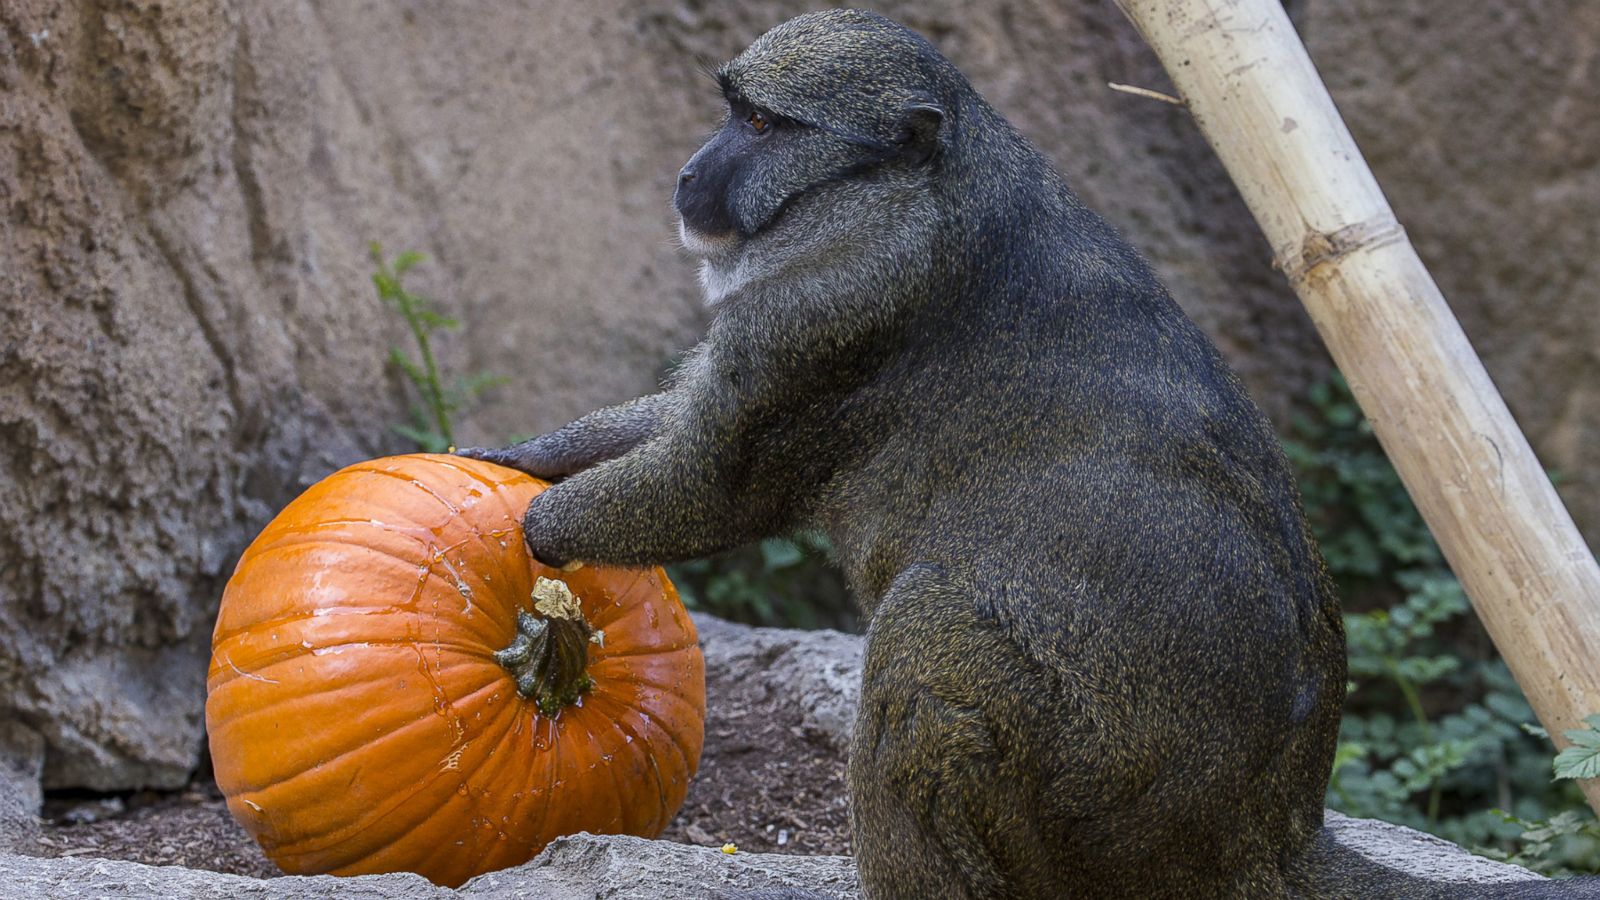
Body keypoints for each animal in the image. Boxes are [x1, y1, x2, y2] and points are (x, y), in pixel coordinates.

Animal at [457, 8, 1593, 896]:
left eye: (763, 124)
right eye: (734, 110)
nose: (692, 172)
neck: (912, 188)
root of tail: (1270, 833)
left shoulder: (827, 309)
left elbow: (708, 485)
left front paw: (537, 527)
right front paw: (513, 457)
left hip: (1097, 797)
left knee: (929, 628)